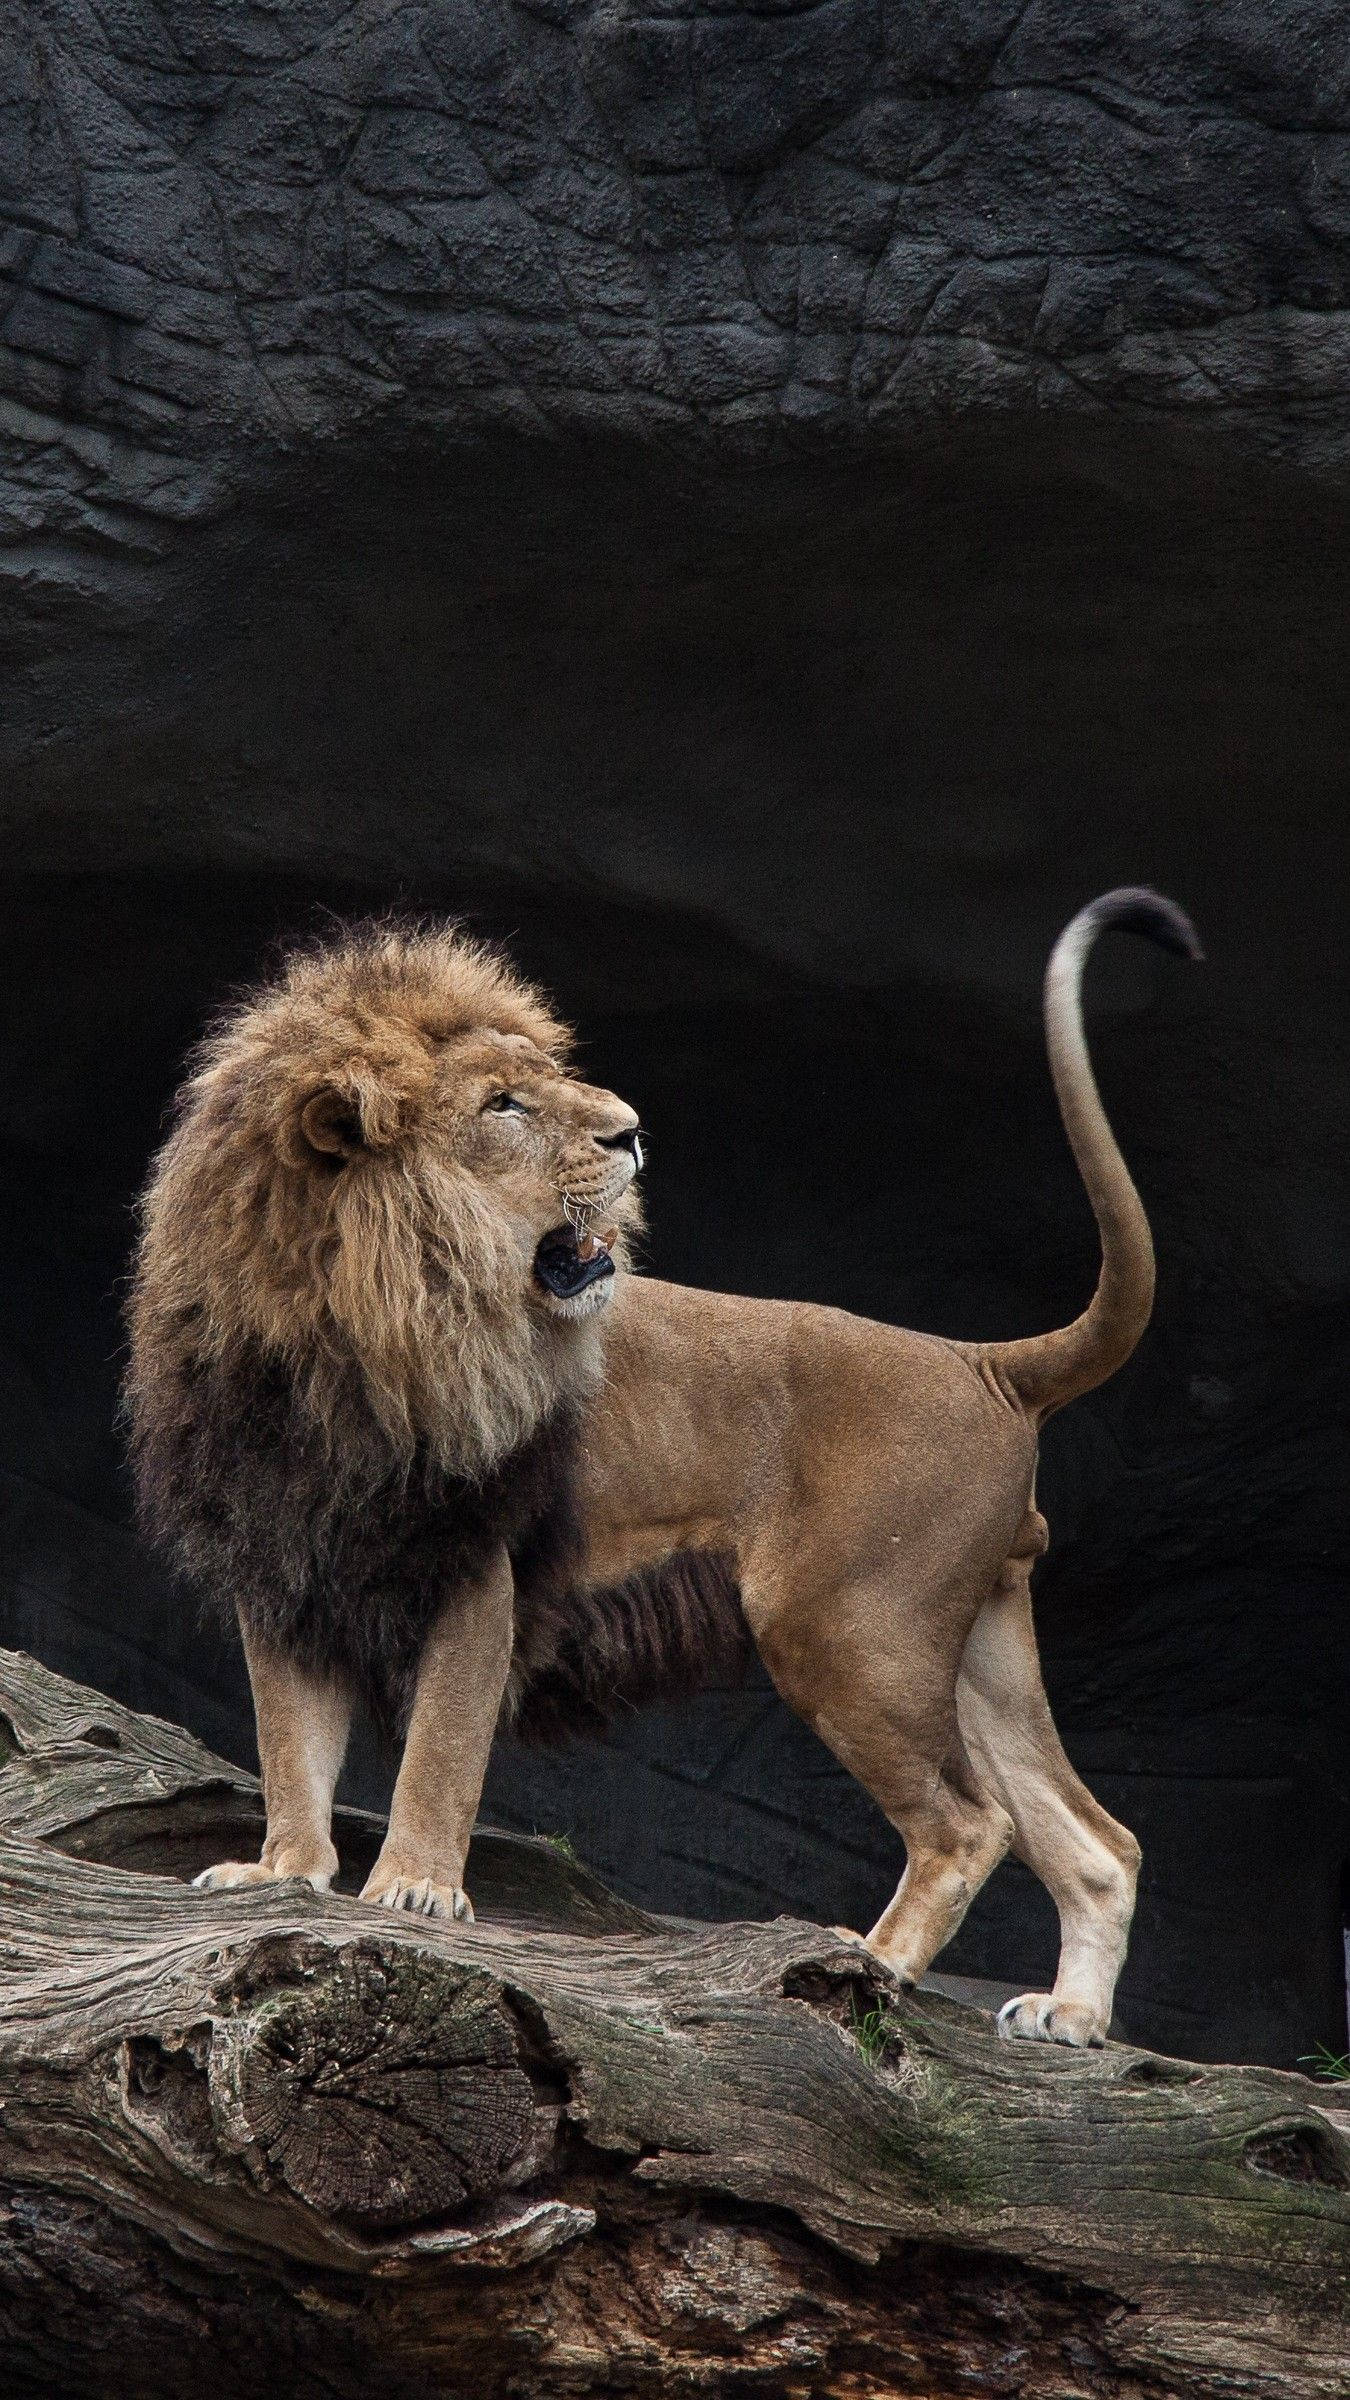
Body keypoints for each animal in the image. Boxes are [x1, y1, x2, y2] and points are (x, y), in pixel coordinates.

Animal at [126, 890, 1201, 2047]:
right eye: (503, 1104)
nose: (631, 1128)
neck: (343, 1337)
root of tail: (980, 1362)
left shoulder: (479, 1566)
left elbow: (442, 1748)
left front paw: (414, 1888)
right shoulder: (284, 1564)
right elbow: (289, 1742)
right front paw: (284, 1871)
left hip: (847, 1626)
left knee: (969, 1825)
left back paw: (870, 1966)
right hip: (968, 1645)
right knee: (1096, 1842)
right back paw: (1072, 2018)